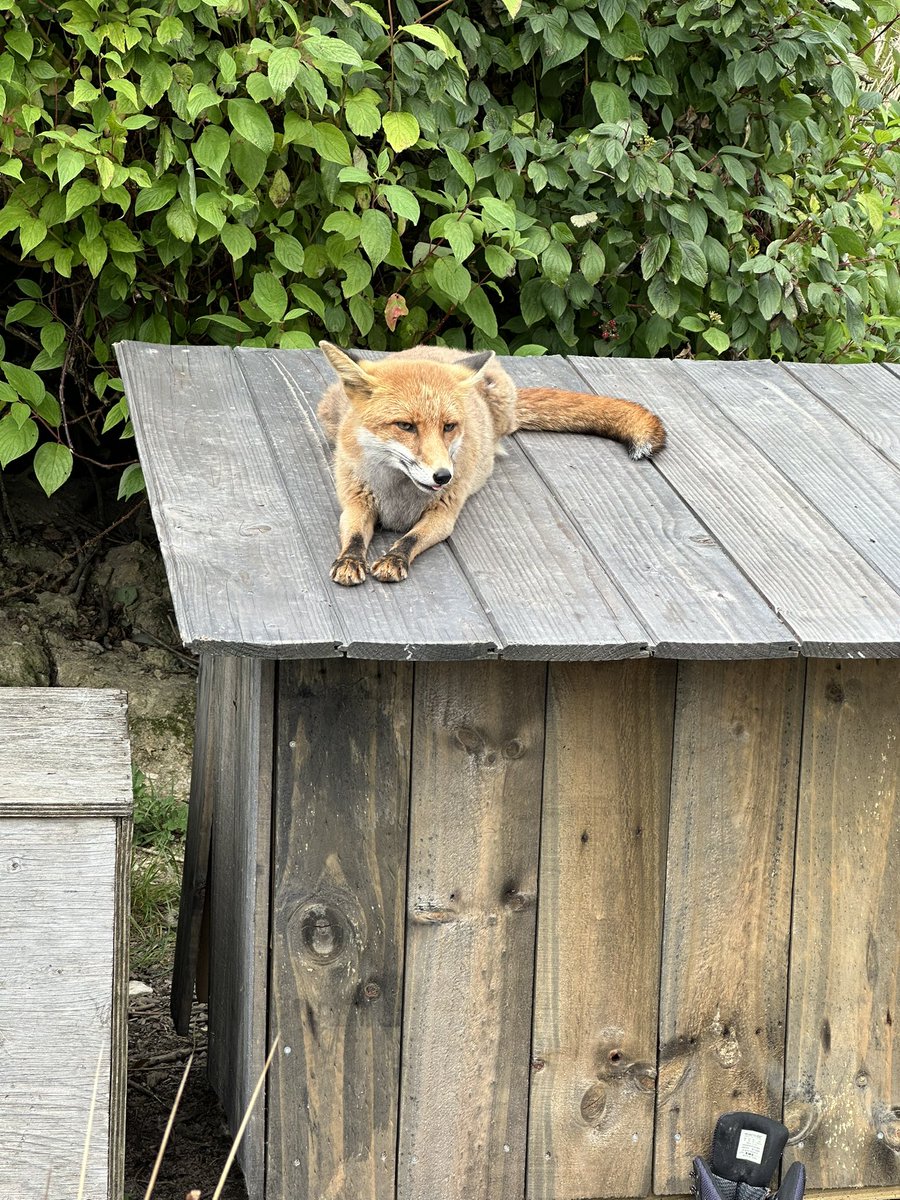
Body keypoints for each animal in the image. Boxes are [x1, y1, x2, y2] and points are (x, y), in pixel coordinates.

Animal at [317, 342, 666, 586]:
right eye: (405, 426)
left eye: (449, 426)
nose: (443, 476)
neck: (397, 496)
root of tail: (447, 350)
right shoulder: (356, 503)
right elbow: (354, 536)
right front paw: (349, 561)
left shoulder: (444, 514)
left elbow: (410, 539)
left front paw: (394, 559)